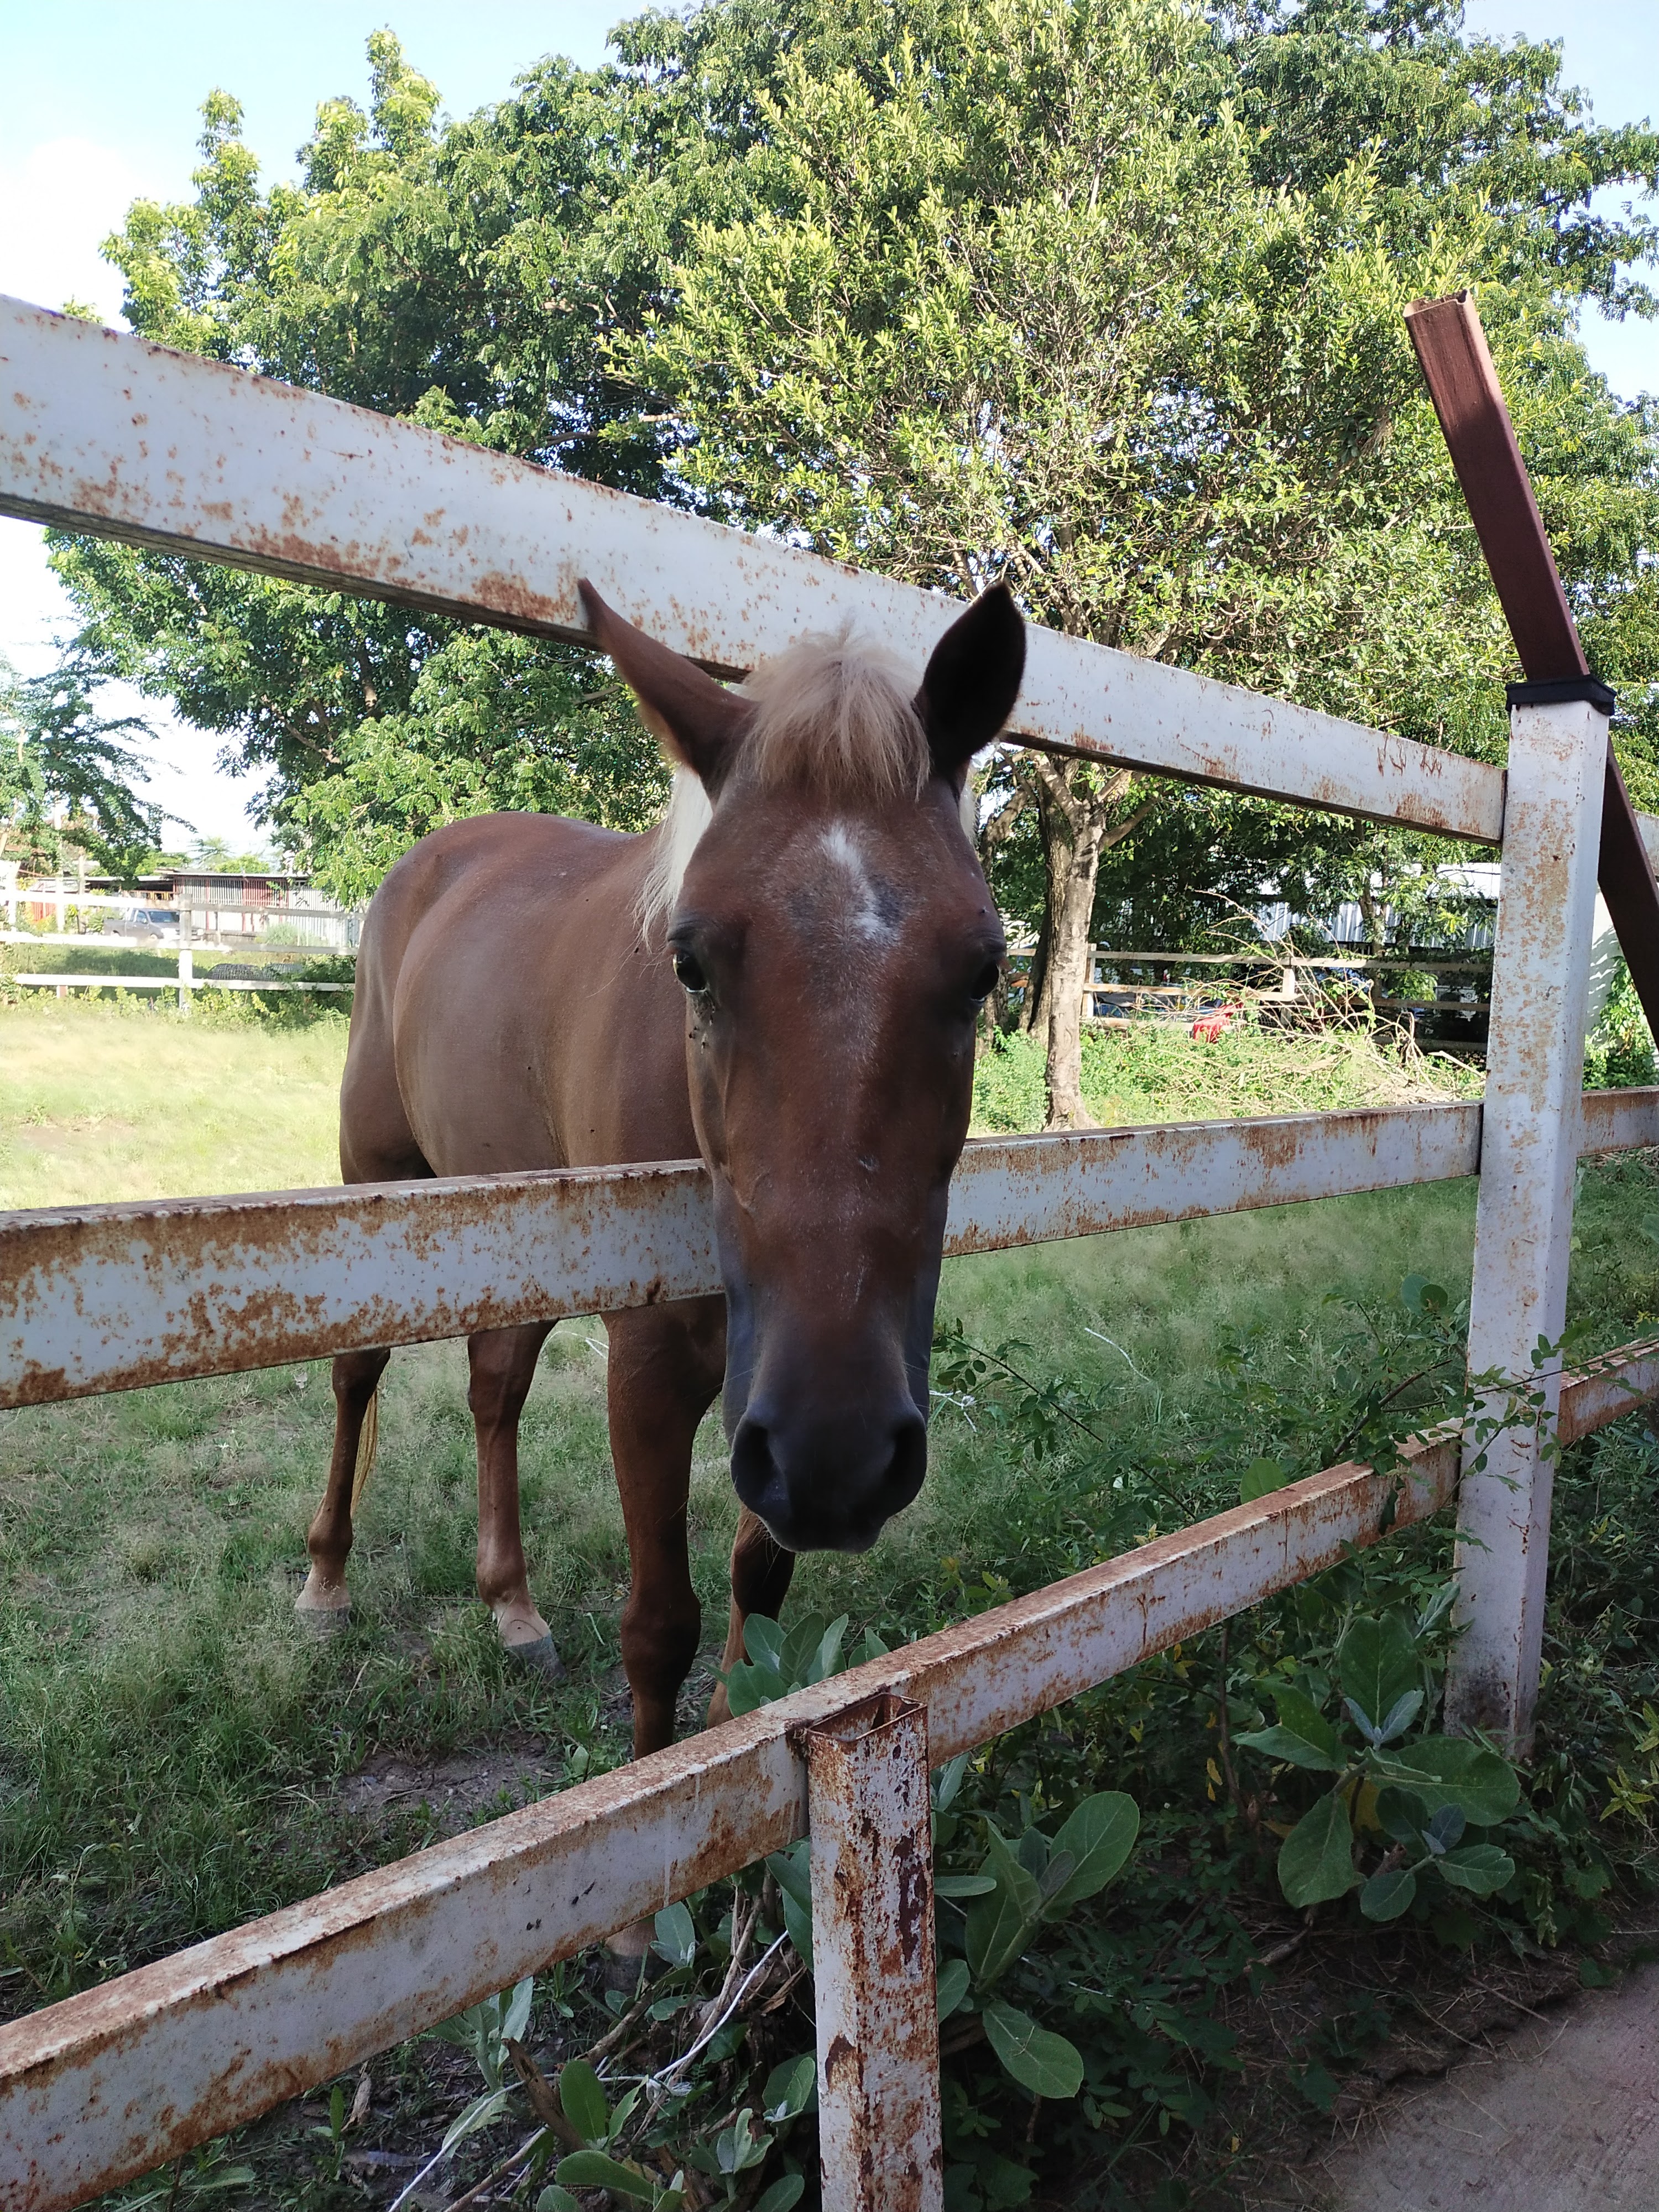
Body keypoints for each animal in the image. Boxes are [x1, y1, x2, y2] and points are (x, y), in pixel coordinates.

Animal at [296, 579, 1025, 1775]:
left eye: (983, 968)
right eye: (690, 962)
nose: (842, 1449)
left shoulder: (763, 1386)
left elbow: (757, 1583)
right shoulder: (651, 1367)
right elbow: (658, 1626)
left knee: (494, 1387)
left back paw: (513, 1607)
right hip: (377, 1184)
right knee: (359, 1371)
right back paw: (325, 1582)